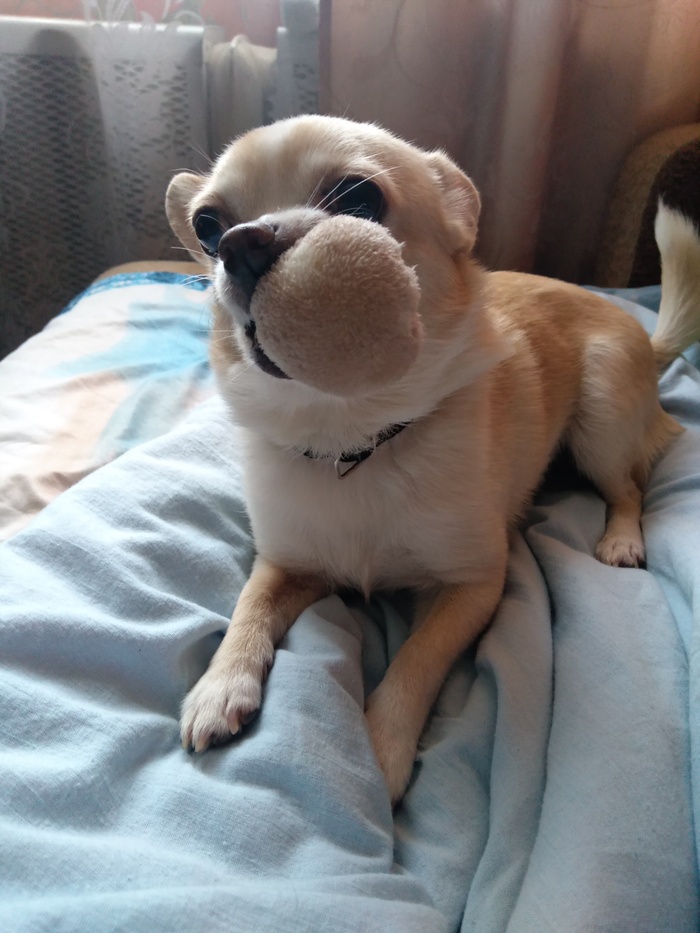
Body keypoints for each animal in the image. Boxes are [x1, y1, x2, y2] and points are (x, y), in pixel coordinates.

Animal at [166, 115, 700, 803]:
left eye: (358, 197)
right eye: (206, 226)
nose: (237, 243)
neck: (353, 439)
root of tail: (647, 338)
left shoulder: (473, 586)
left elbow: (416, 660)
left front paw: (381, 750)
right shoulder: (286, 563)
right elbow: (247, 609)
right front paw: (219, 685)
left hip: (600, 420)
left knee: (629, 486)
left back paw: (622, 538)